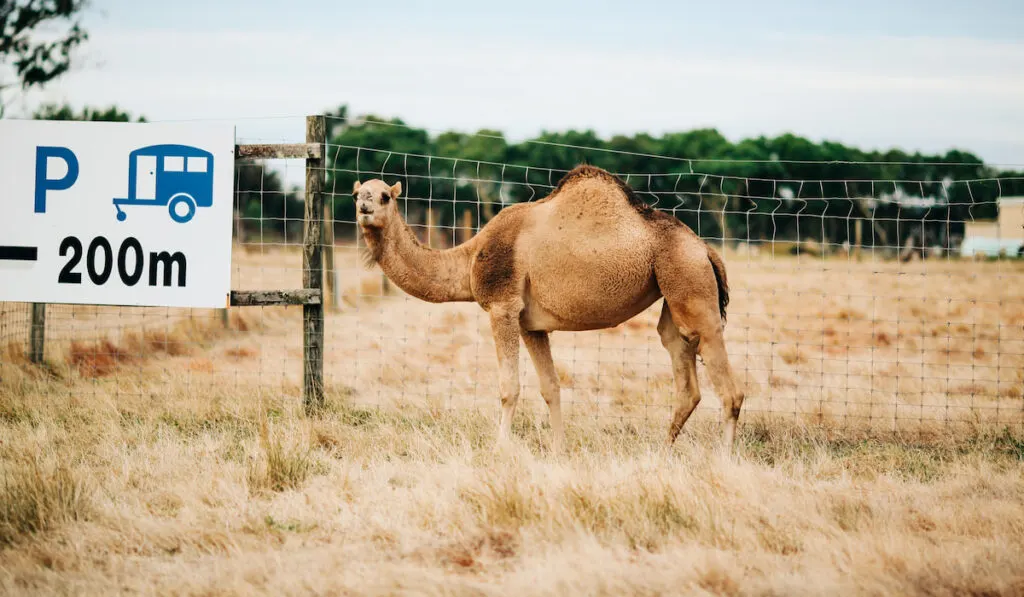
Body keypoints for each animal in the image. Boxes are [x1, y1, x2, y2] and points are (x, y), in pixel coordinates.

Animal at [352, 165, 745, 454]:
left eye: (384, 195)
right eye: (357, 193)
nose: (364, 208)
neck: (470, 258)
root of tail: (705, 249)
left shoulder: (502, 306)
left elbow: (509, 387)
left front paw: (499, 449)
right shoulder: (531, 324)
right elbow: (550, 387)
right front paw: (559, 450)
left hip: (689, 280)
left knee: (729, 388)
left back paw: (722, 459)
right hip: (674, 290)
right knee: (682, 365)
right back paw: (662, 452)